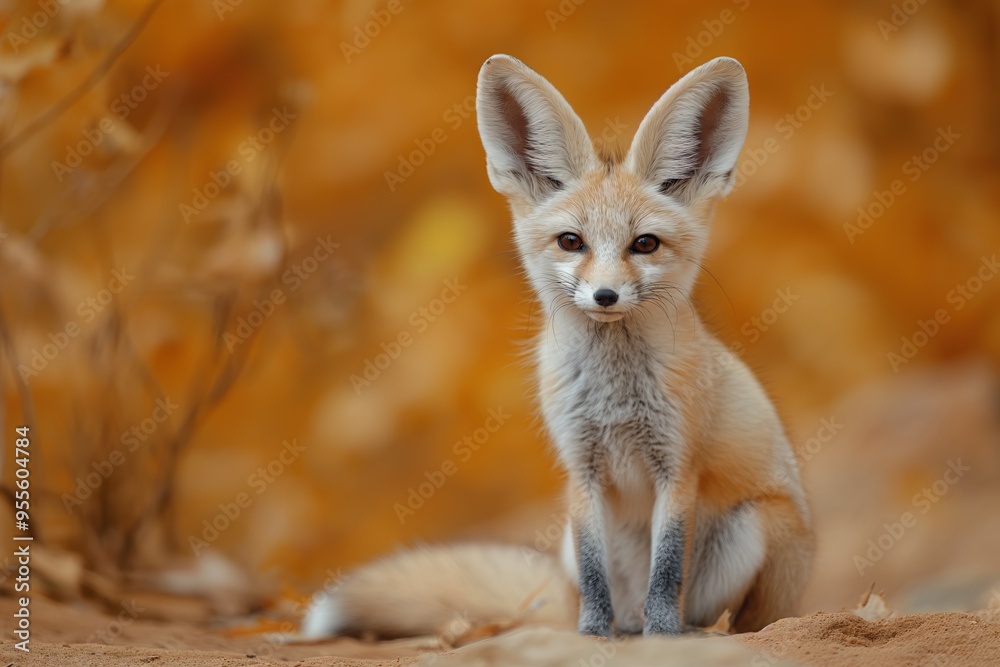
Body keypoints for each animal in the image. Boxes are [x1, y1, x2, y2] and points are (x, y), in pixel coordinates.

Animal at [301, 54, 814, 640]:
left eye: (645, 244)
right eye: (572, 242)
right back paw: (615, 627)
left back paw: (680, 630)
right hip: (574, 545)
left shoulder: (678, 466)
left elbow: (667, 570)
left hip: (749, 529)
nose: (605, 295)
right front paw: (591, 634)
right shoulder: (580, 468)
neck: (615, 395)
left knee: (724, 618)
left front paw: (663, 635)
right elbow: (594, 574)